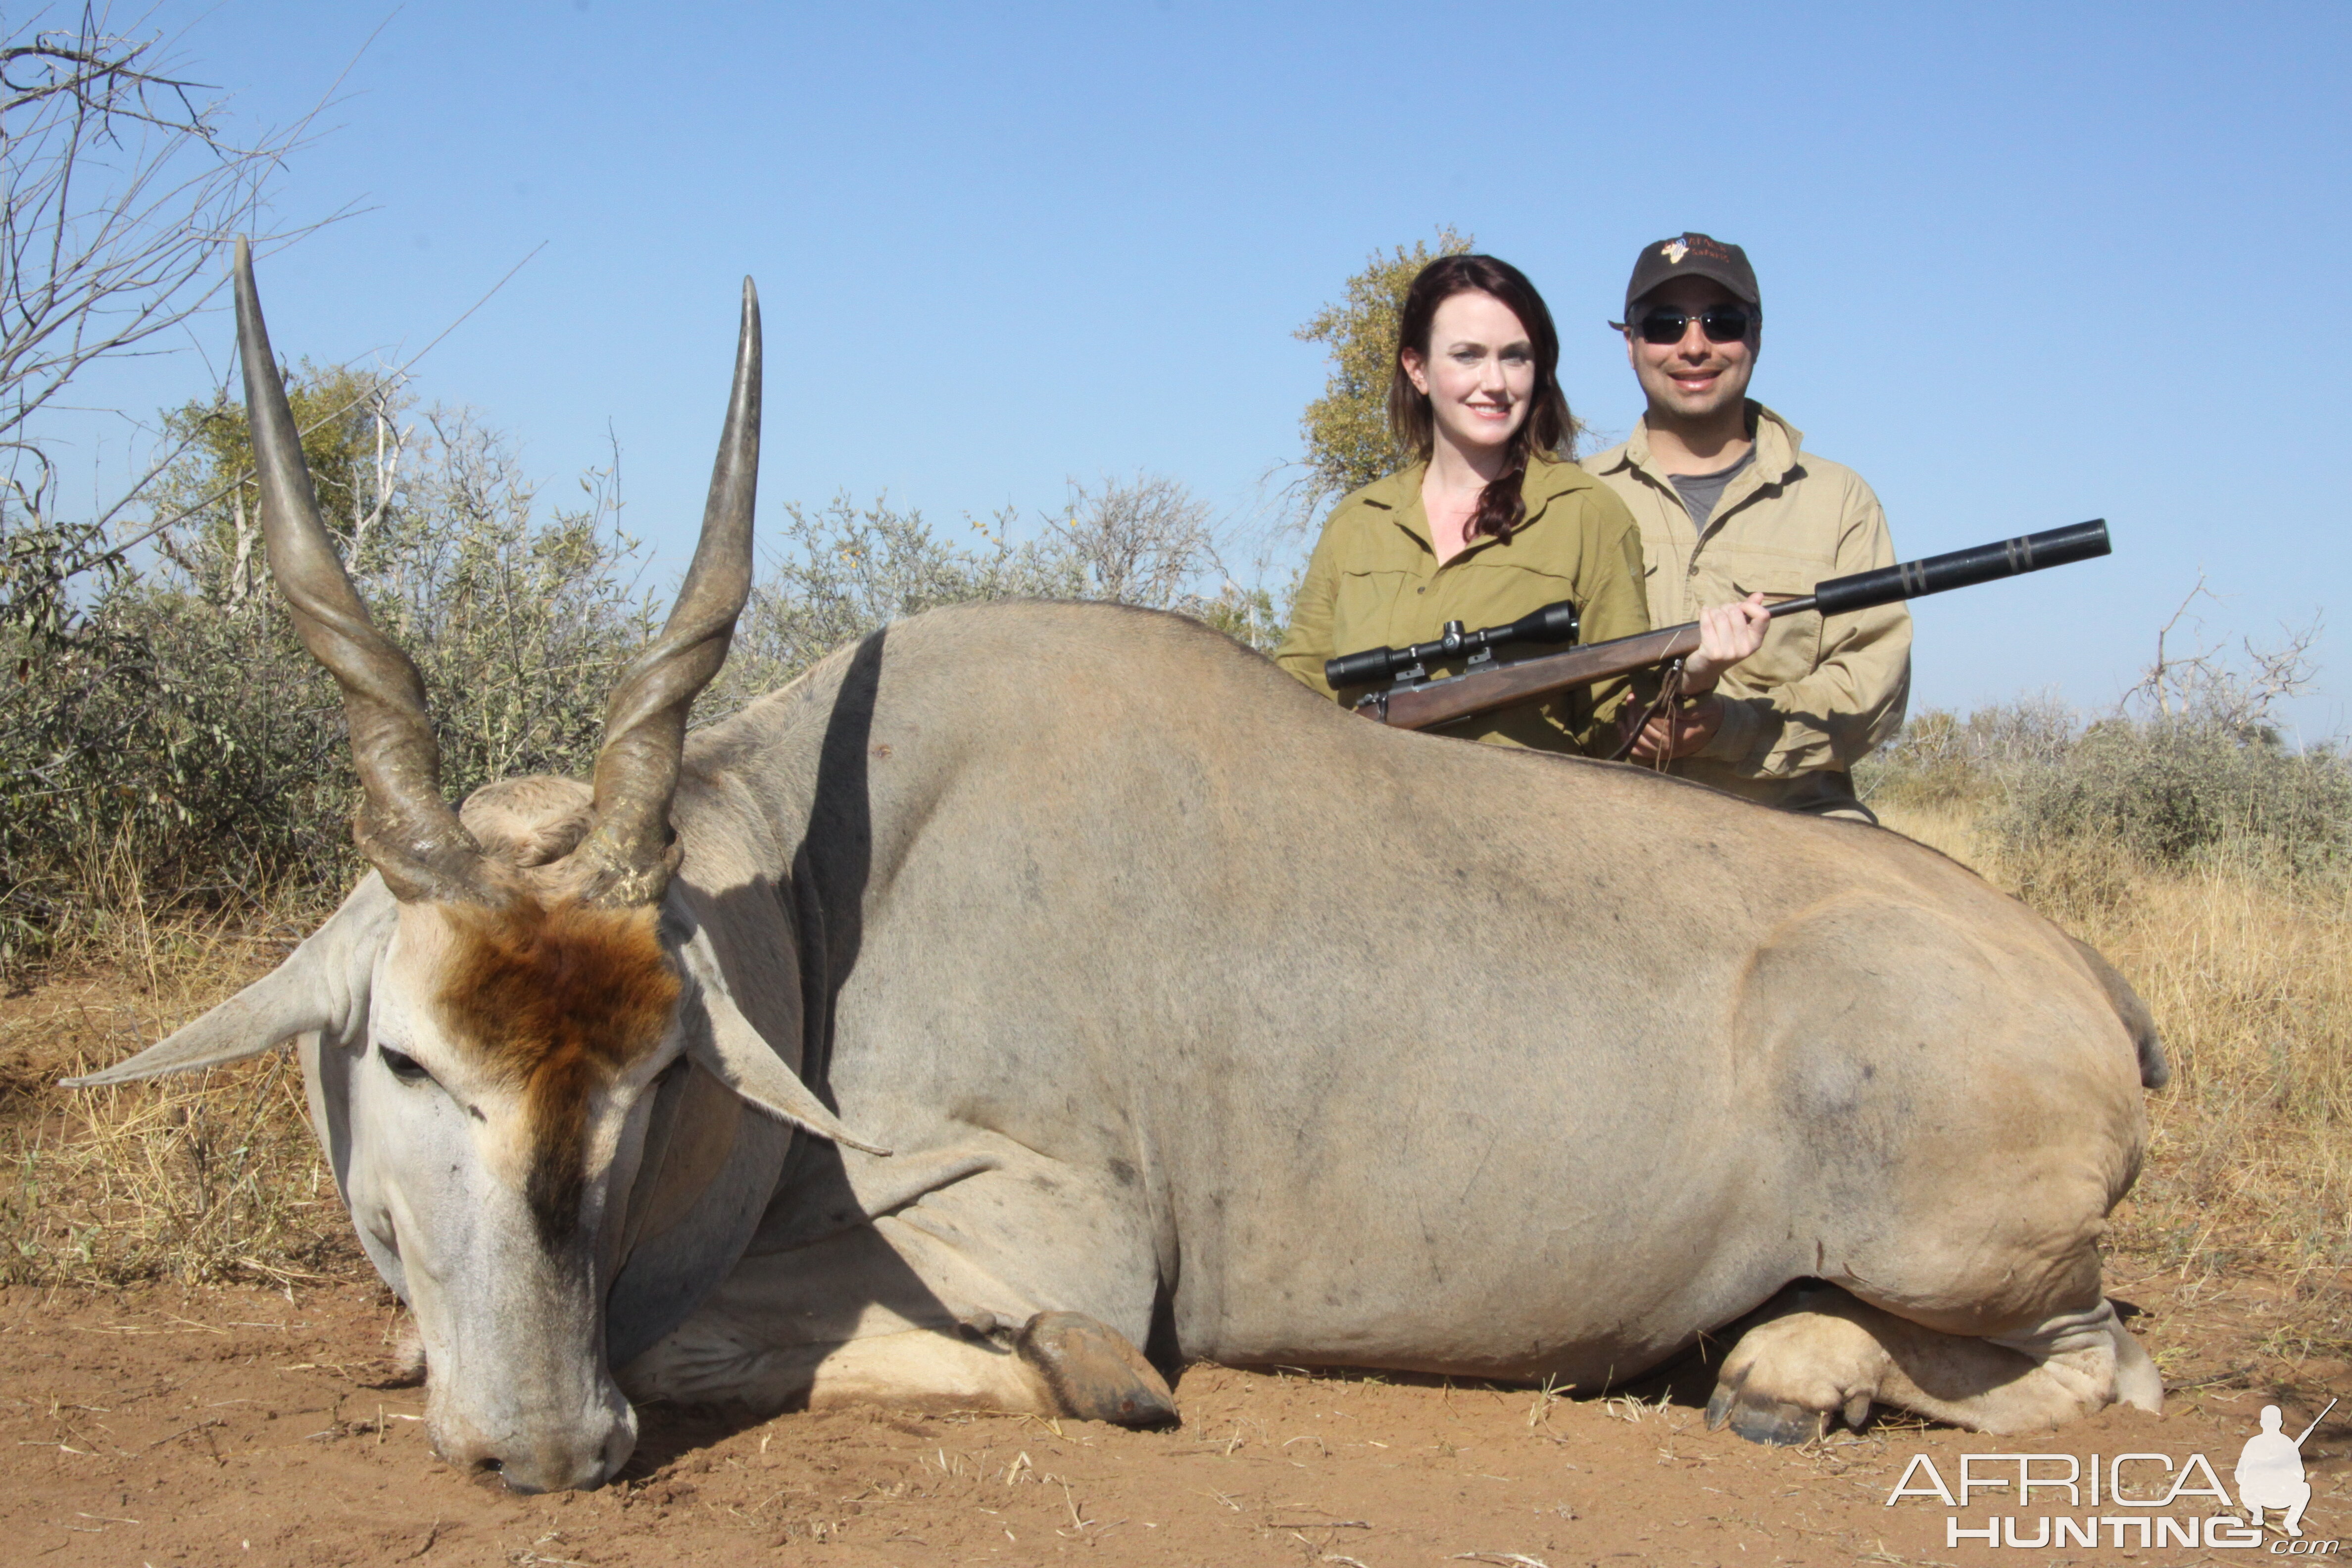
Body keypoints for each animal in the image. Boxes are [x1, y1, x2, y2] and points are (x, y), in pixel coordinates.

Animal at [73, 245, 2163, 1495]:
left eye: (661, 1070)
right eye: (407, 1057)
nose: (548, 1443)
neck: (815, 904)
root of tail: (2086, 990)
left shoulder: (1043, 1235)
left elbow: (925, 1347)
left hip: (1967, 1239)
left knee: (2110, 1359)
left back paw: (1797, 1367)